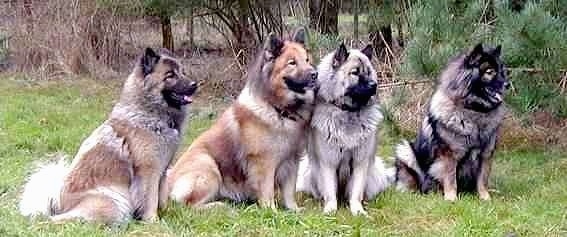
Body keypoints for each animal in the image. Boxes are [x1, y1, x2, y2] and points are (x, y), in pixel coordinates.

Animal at [19, 48, 197, 224]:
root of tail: (58, 203)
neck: (150, 113)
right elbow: (150, 200)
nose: (194, 85)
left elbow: (162, 198)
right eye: (170, 75)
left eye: (182, 72)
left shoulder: (162, 172)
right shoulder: (149, 172)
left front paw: (167, 214)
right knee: (61, 219)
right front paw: (153, 221)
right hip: (115, 201)